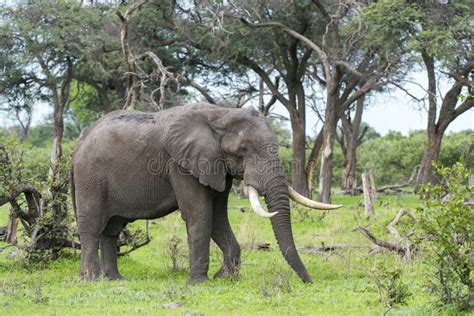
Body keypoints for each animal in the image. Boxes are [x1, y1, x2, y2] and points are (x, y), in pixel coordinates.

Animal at [71, 103, 340, 284]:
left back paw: (115, 280)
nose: (309, 283)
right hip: (90, 177)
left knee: (112, 228)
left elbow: (218, 217)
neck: (221, 114)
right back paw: (90, 280)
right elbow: (199, 214)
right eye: (244, 149)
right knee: (93, 225)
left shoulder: (217, 166)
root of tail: (80, 141)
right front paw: (200, 283)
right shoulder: (181, 165)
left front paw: (224, 277)